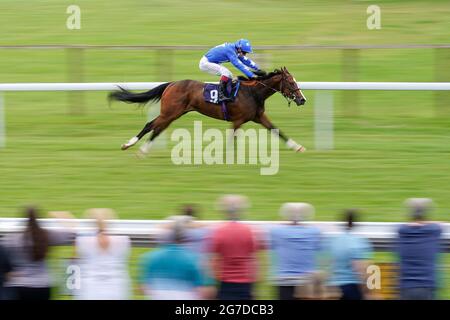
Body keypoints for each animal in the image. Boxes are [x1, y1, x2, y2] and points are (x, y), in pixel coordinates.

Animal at [108, 66, 306, 155]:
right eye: (291, 82)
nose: (302, 99)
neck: (253, 92)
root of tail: (171, 84)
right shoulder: (238, 120)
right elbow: (232, 138)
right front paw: (227, 156)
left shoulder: (258, 116)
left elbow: (277, 130)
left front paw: (298, 146)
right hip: (170, 112)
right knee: (151, 125)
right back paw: (131, 145)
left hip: (174, 114)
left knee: (157, 128)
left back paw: (141, 149)